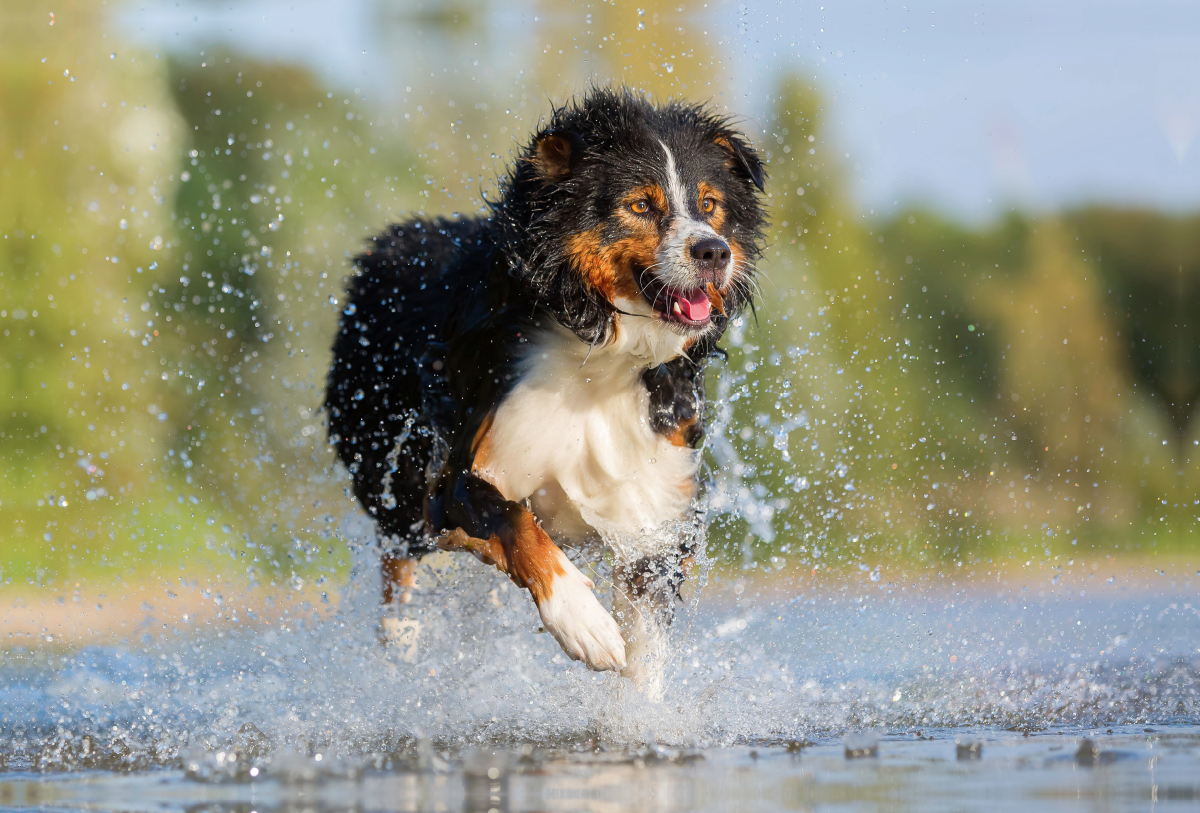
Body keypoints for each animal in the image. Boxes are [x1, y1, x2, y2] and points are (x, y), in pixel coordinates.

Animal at [324, 87, 763, 681]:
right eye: (640, 206)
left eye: (710, 204)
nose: (714, 251)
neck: (598, 359)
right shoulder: (457, 476)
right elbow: (515, 522)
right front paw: (583, 622)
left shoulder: (656, 513)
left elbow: (645, 655)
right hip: (392, 473)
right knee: (400, 572)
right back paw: (402, 651)